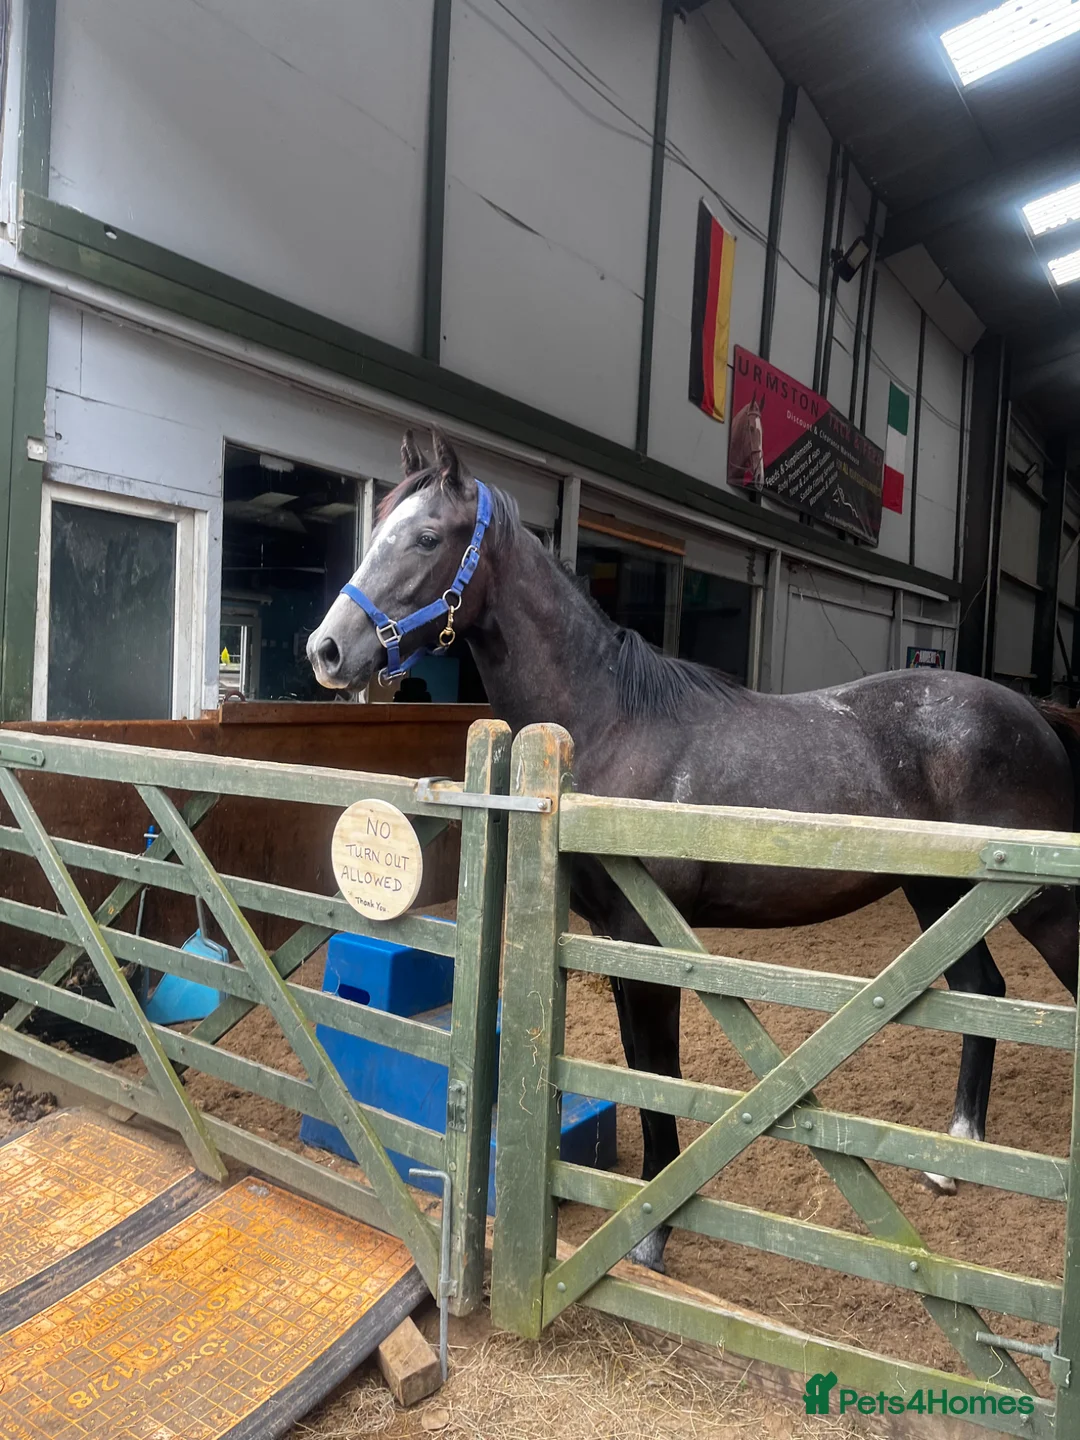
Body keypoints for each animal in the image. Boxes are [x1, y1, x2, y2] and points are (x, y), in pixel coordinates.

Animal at [308, 428, 1080, 1274]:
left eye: (426, 537)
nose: (327, 650)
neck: (614, 722)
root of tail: (1033, 714)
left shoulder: (647, 939)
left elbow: (659, 1072)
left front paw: (649, 1234)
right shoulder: (612, 938)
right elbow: (643, 1064)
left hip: (1040, 906)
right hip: (942, 896)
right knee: (985, 990)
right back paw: (952, 1156)